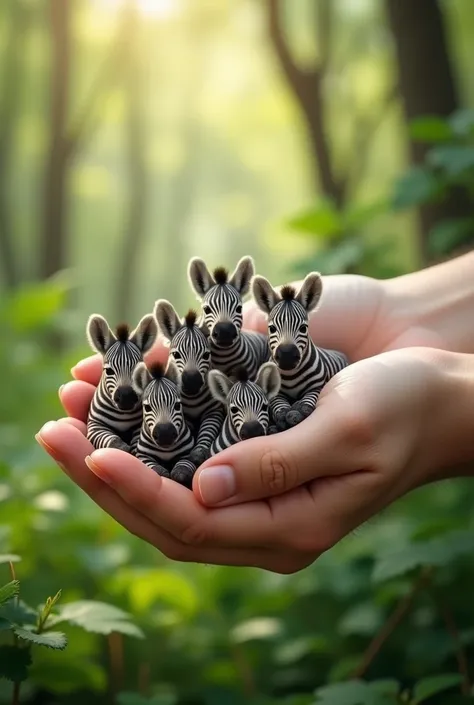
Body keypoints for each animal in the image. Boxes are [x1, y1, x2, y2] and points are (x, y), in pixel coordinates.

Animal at [86, 314, 158, 452]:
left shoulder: (140, 425)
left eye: (139, 370)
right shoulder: (94, 426)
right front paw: (122, 448)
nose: (126, 397)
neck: (123, 416)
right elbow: (111, 439)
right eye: (108, 371)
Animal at [153, 300, 225, 464]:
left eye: (206, 355)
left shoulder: (214, 412)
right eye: (176, 355)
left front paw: (198, 454)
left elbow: (207, 433)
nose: (192, 382)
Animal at [252, 272, 348, 428]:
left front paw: (301, 410)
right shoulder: (276, 393)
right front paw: (283, 415)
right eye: (272, 328)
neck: (292, 375)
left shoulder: (316, 388)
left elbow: (309, 401)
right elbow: (278, 405)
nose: (287, 356)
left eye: (303, 328)